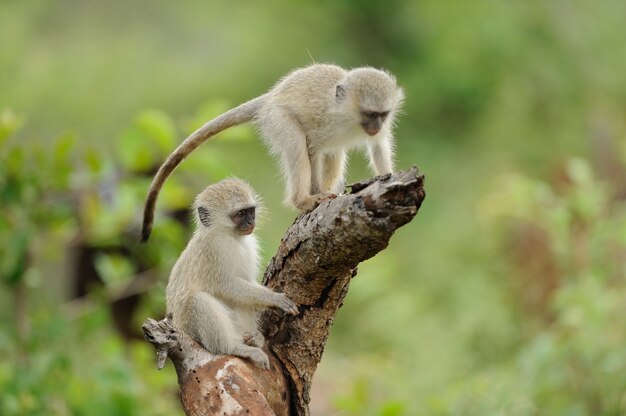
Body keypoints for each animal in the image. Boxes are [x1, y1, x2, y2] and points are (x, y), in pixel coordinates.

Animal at [143, 63, 404, 242]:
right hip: (277, 118)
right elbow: (311, 149)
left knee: (335, 153)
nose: (375, 126)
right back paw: (302, 200)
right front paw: (314, 197)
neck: (348, 116)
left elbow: (378, 145)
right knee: (298, 145)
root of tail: (271, 97)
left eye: (382, 114)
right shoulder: (323, 124)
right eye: (369, 114)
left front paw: (387, 176)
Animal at [163, 178, 294, 368]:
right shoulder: (214, 249)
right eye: (240, 214)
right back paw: (233, 347)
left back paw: (254, 339)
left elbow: (246, 284)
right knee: (200, 300)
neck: (229, 236)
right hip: (191, 330)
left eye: (250, 211)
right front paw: (273, 299)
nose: (250, 223)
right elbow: (225, 285)